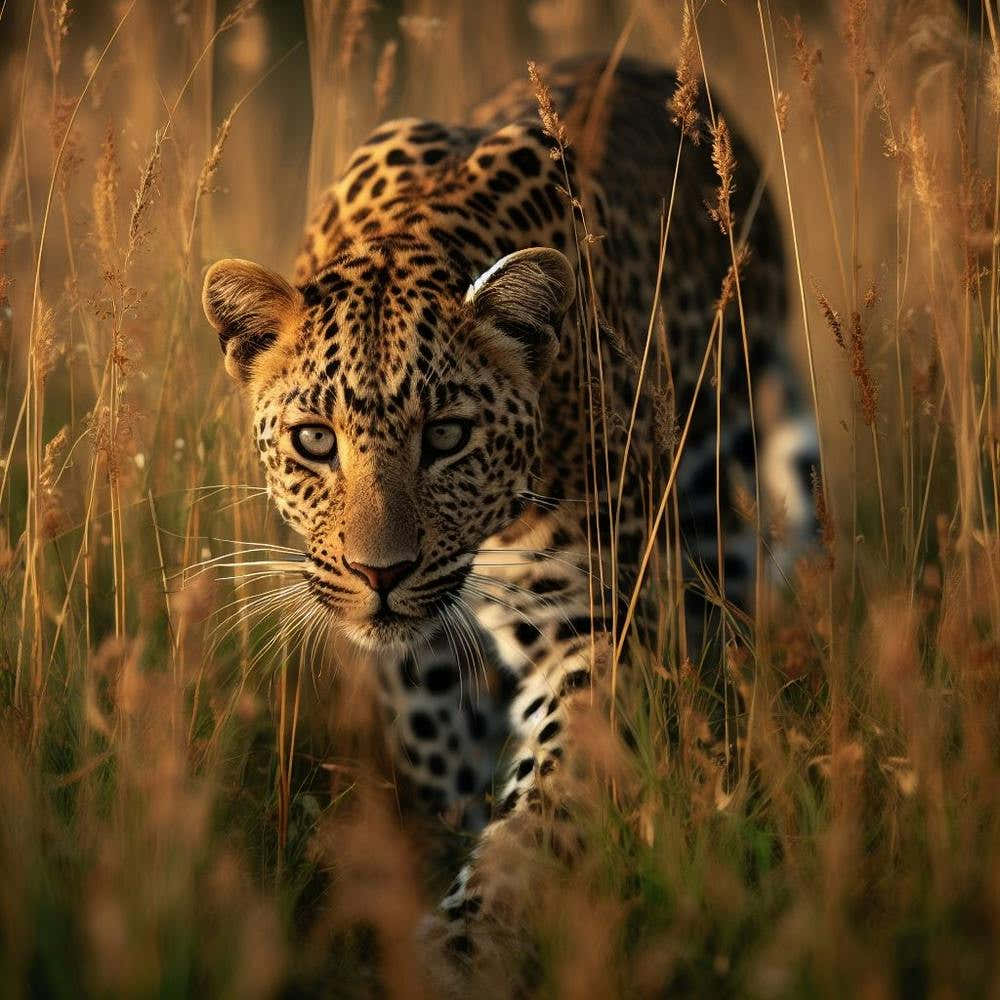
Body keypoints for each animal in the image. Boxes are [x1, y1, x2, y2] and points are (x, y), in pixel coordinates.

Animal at [201, 55, 819, 985]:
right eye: (314, 440)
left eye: (448, 436)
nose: (380, 574)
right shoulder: (413, 660)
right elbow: (435, 751)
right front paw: (442, 848)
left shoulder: (597, 620)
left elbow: (549, 798)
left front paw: (473, 940)